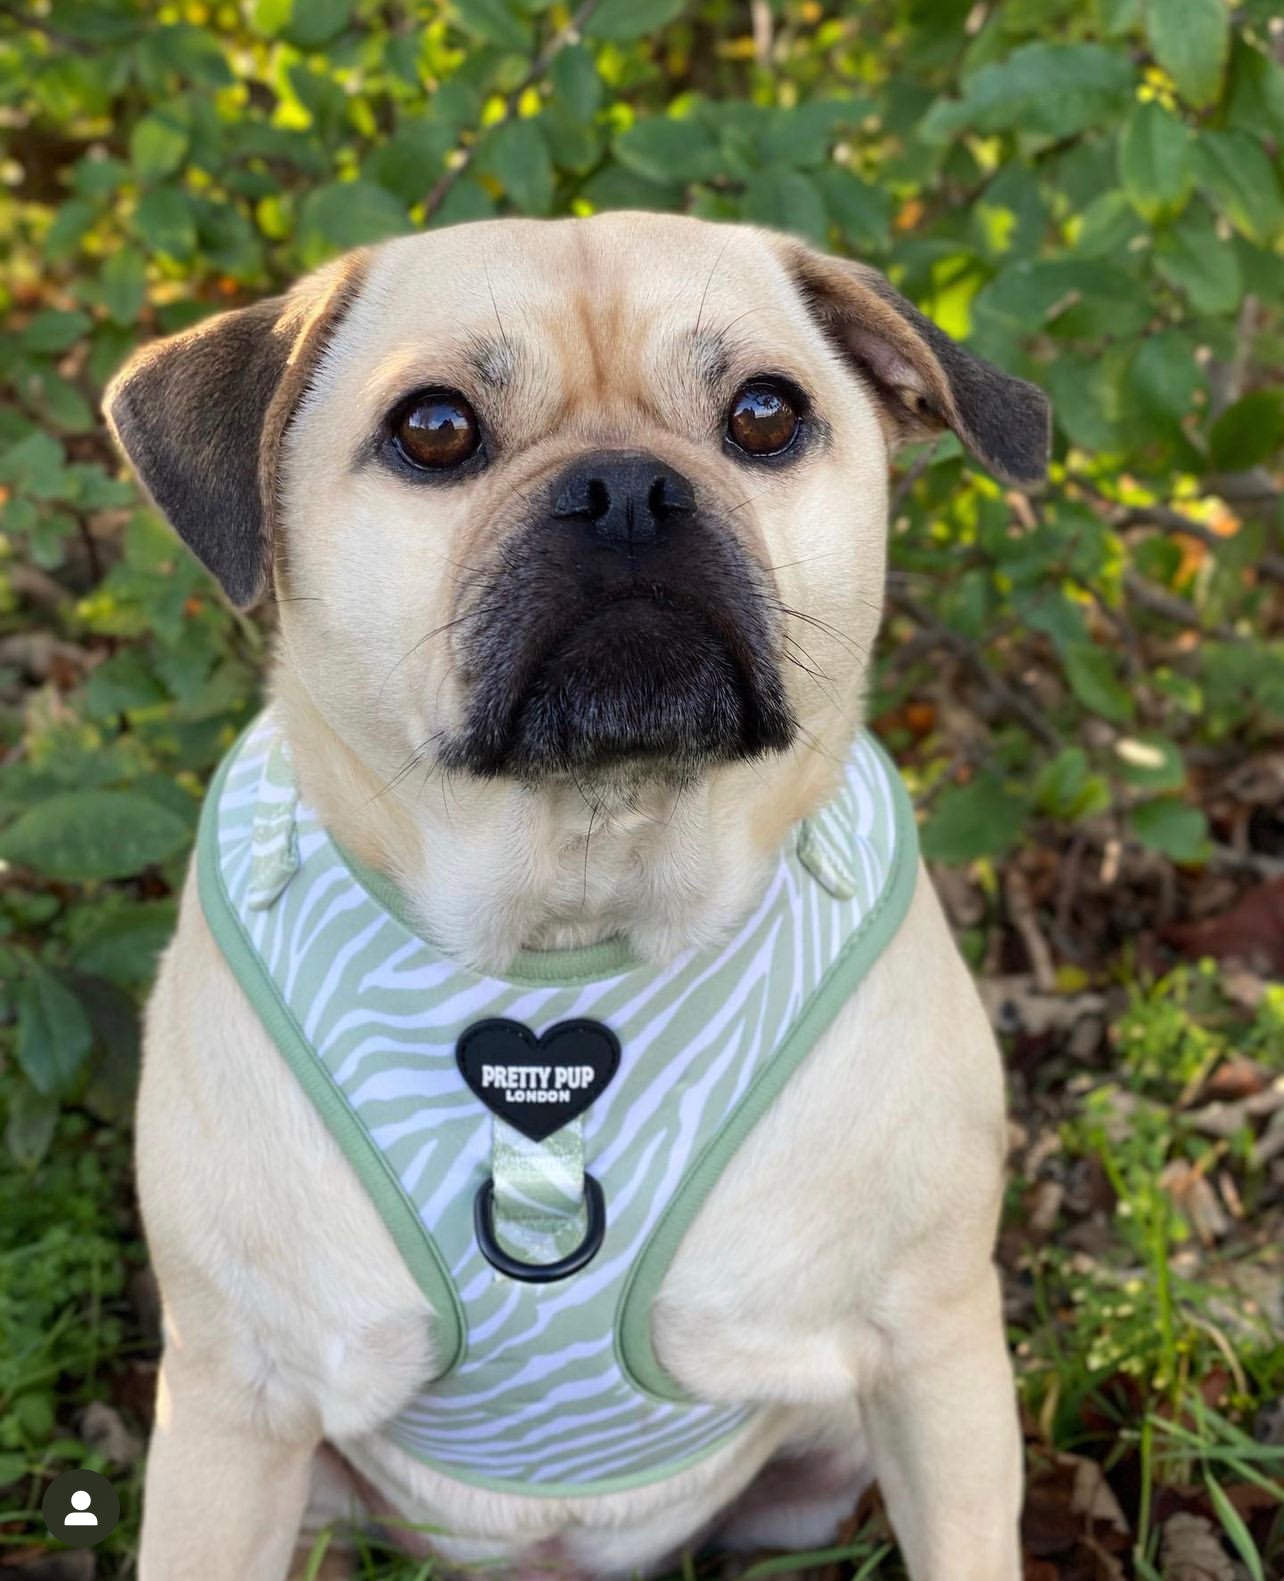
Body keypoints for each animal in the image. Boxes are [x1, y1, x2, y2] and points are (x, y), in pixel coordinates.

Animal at [105, 213, 1049, 1581]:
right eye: (434, 430)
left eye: (767, 414)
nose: (627, 490)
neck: (579, 912)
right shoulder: (237, 1408)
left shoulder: (934, 1352)